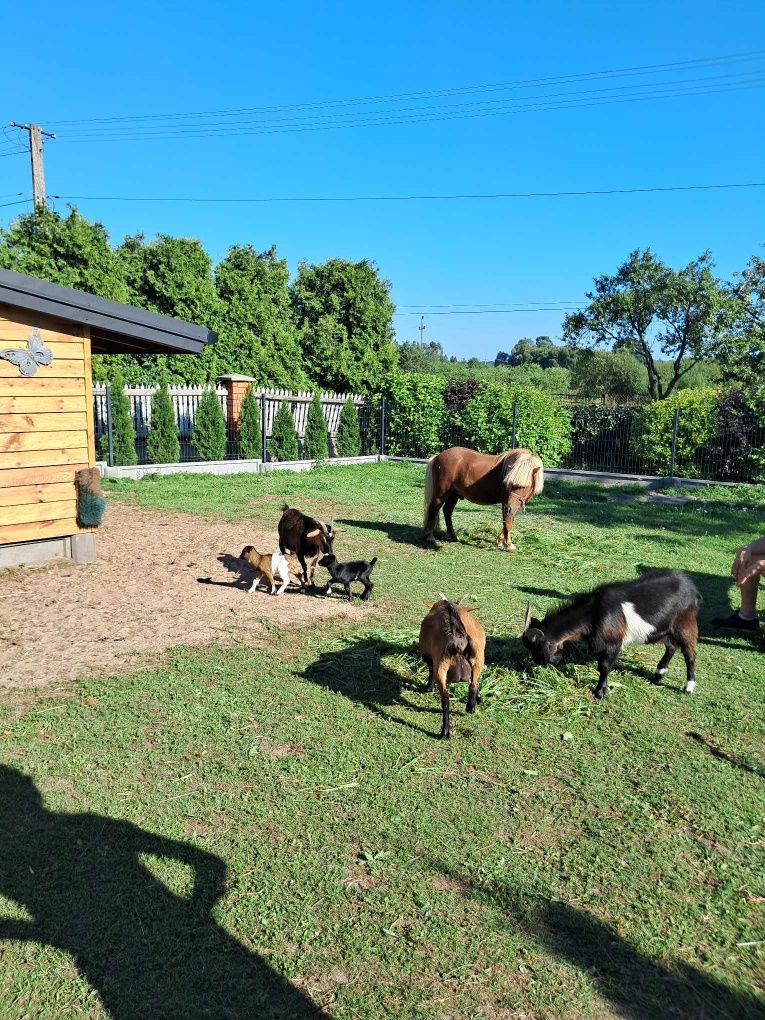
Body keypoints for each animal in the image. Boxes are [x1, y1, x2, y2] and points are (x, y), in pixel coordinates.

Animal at [416, 595, 487, 738]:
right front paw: (479, 698)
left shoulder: (428, 655)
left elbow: (430, 669)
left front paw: (428, 688)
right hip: (478, 658)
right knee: (473, 685)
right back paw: (470, 707)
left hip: (441, 666)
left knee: (445, 699)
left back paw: (445, 732)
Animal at [526, 571, 705, 697]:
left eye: (538, 648)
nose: (537, 663)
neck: (594, 613)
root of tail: (692, 588)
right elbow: (600, 665)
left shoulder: (614, 642)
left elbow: (604, 667)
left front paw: (599, 693)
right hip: (664, 630)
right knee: (671, 647)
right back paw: (658, 673)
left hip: (685, 625)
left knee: (689, 655)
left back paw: (688, 687)